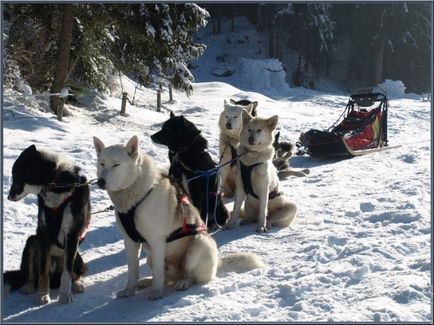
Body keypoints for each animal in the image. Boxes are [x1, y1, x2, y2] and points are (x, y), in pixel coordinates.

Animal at [3, 144, 90, 304]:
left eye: (15, 176)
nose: (8, 197)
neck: (54, 182)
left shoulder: (73, 234)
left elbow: (67, 274)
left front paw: (65, 294)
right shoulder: (43, 234)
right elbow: (43, 273)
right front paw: (43, 295)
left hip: (77, 257)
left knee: (74, 273)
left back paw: (77, 284)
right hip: (32, 242)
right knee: (32, 276)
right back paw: (28, 286)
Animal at [93, 135, 262, 300]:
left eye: (116, 165)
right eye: (102, 164)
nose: (100, 182)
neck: (135, 199)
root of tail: (217, 262)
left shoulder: (157, 240)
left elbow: (158, 272)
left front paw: (156, 292)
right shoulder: (130, 242)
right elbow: (133, 270)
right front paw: (129, 290)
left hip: (197, 246)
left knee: (191, 275)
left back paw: (183, 282)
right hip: (151, 258)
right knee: (165, 276)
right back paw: (147, 281)